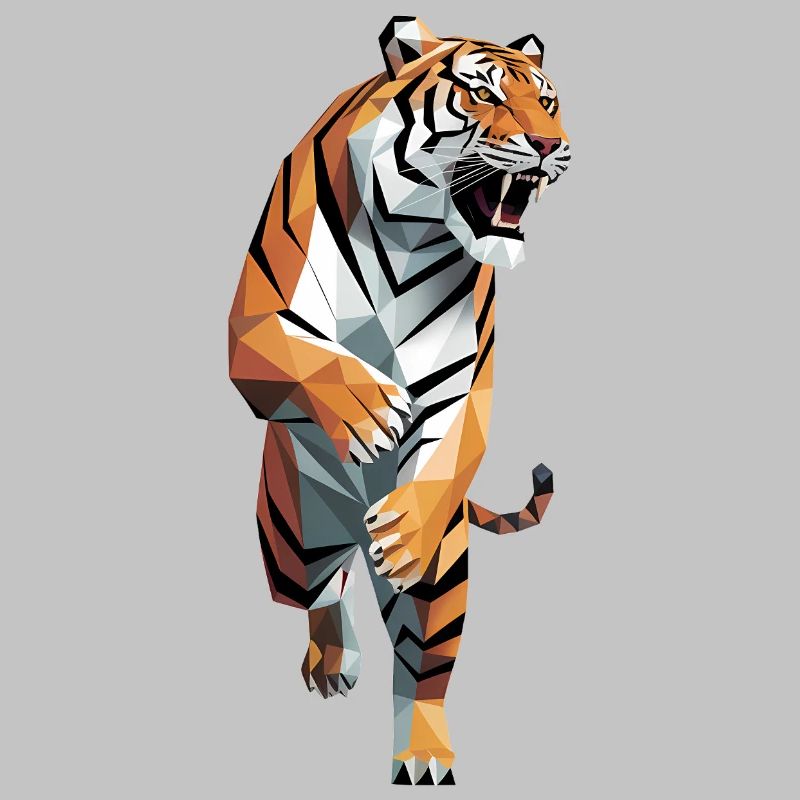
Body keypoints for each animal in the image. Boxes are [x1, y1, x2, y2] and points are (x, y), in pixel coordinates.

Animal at [227, 16, 570, 785]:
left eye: (547, 101)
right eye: (482, 94)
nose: (549, 145)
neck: (413, 237)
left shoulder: (467, 380)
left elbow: (455, 438)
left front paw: (405, 527)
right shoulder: (253, 324)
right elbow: (301, 358)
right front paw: (369, 412)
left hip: (445, 573)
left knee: (423, 670)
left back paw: (424, 757)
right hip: (290, 541)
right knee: (320, 593)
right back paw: (333, 662)